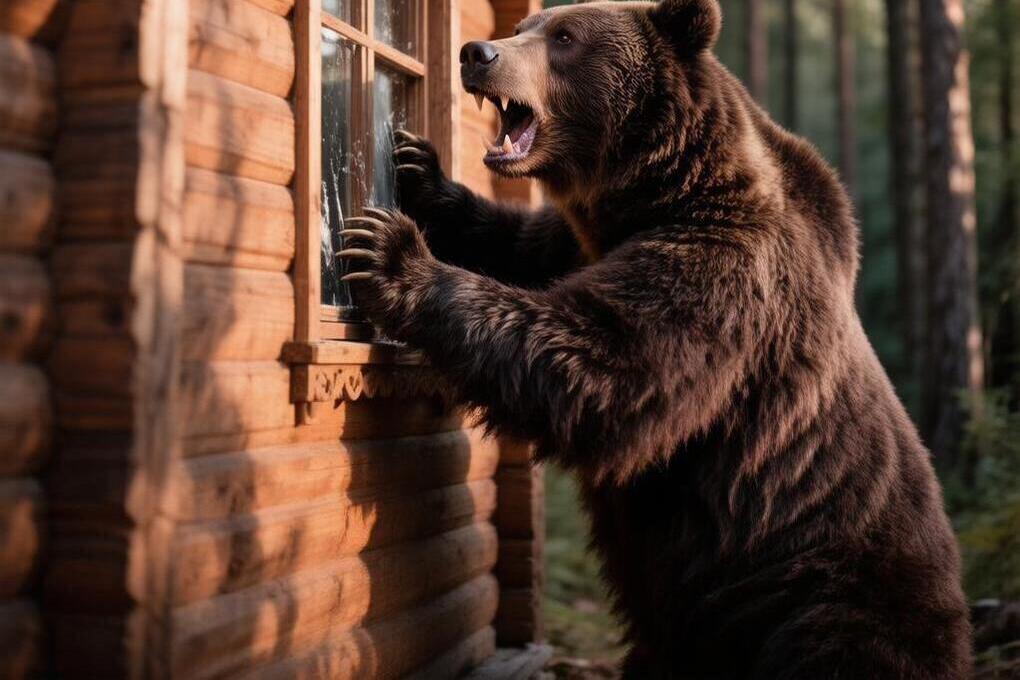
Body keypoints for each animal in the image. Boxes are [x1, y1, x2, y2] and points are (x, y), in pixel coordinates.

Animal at [337, 0, 972, 676]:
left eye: (565, 37)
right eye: (523, 28)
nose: (477, 54)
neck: (659, 191)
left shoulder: (725, 271)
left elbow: (606, 363)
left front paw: (388, 250)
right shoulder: (581, 242)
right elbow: (517, 246)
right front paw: (419, 172)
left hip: (820, 585)